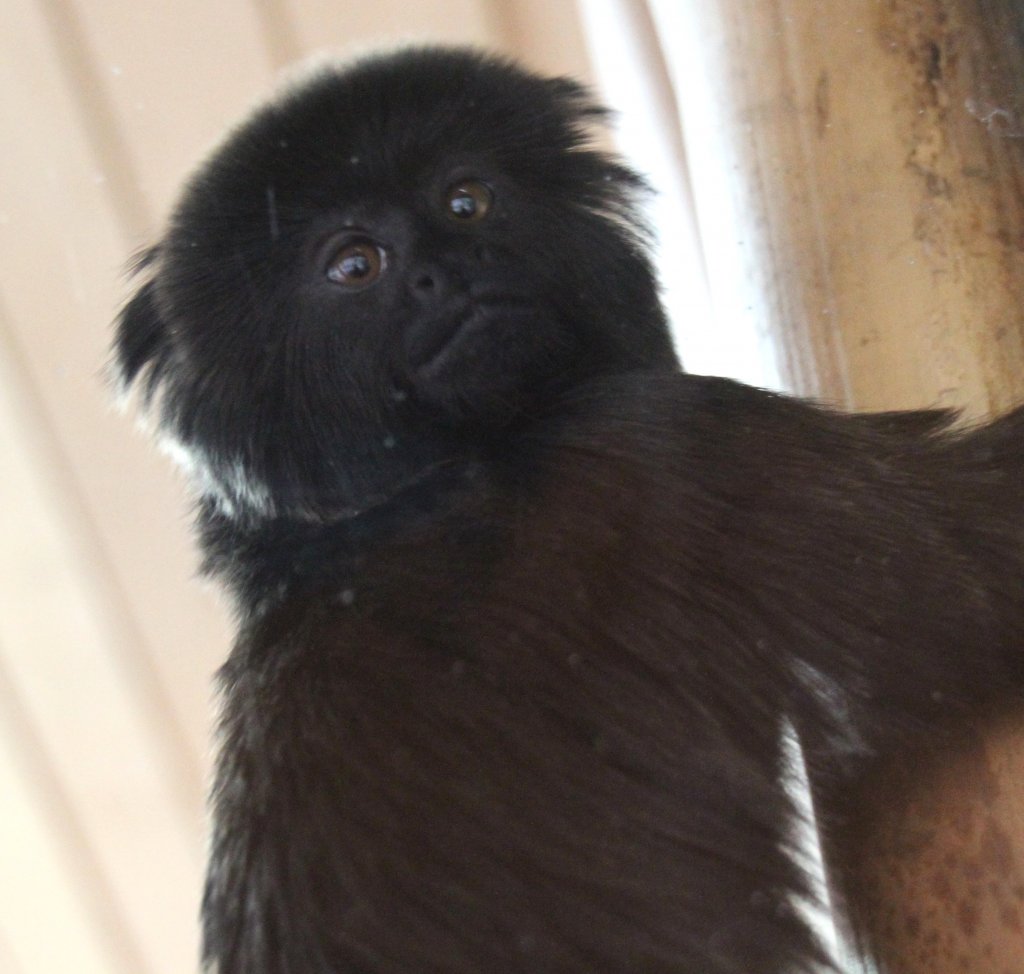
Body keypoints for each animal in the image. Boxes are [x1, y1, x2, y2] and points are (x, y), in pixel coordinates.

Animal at [112, 47, 1024, 974]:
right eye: (355, 265)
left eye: (465, 201)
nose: (447, 267)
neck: (414, 496)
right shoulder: (674, 442)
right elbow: (971, 576)